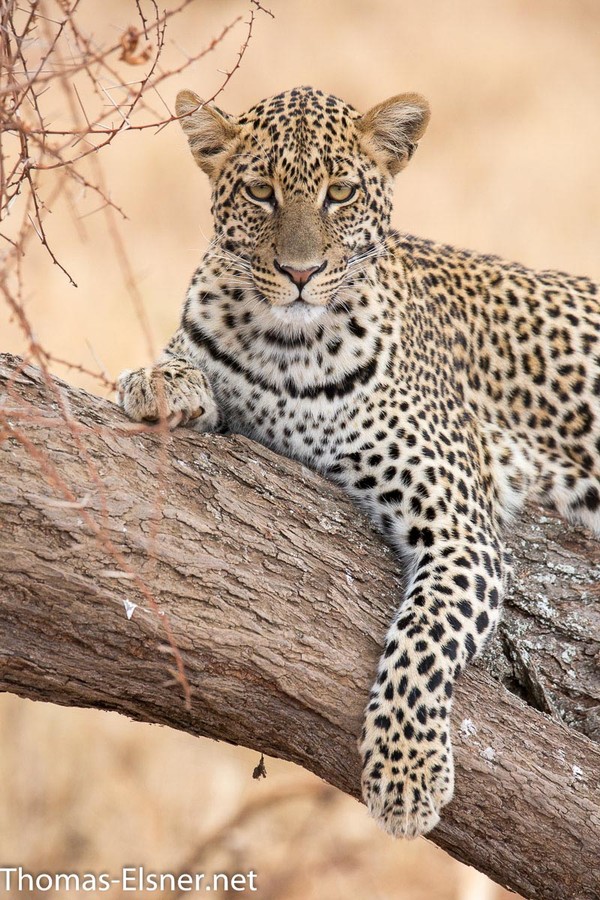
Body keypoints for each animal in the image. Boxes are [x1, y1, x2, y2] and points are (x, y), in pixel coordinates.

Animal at [117, 88, 600, 840]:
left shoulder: (463, 531)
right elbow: (177, 356)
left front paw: (407, 775)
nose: (300, 274)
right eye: (260, 192)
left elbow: (422, 637)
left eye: (340, 194)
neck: (289, 348)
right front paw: (159, 383)